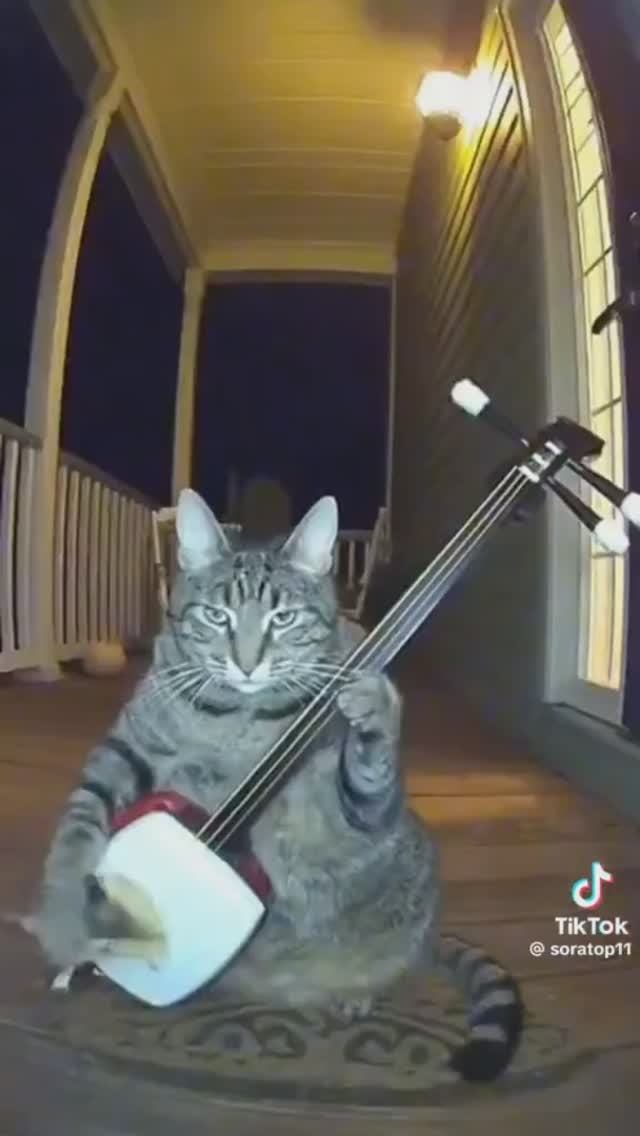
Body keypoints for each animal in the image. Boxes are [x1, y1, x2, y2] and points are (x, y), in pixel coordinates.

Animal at [34, 490, 522, 1082]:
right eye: (217, 615)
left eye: (283, 618)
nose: (246, 663)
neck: (237, 716)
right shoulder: (126, 746)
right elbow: (79, 823)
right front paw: (64, 920)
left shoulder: (348, 809)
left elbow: (367, 782)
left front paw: (377, 706)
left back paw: (356, 992)